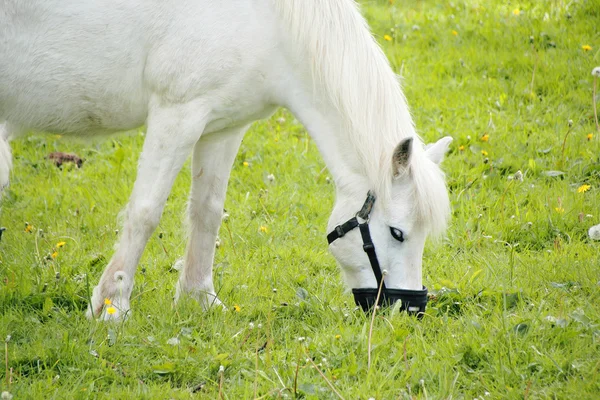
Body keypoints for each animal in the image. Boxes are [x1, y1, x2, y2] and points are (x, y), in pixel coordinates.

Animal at [0, 0, 450, 318]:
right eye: (397, 233)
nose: (411, 309)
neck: (267, 22)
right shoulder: (177, 115)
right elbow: (145, 212)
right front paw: (112, 307)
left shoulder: (223, 128)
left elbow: (208, 211)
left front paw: (199, 298)